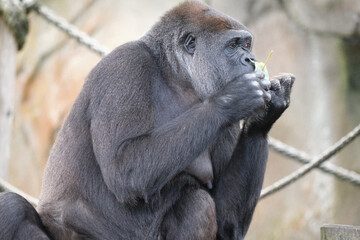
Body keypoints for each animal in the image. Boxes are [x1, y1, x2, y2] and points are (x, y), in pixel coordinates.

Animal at [0, 0, 294, 239]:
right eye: (234, 46)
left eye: (246, 45)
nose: (250, 59)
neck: (175, 75)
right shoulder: (125, 66)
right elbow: (125, 168)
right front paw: (232, 99)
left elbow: (227, 223)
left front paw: (264, 118)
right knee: (11, 208)